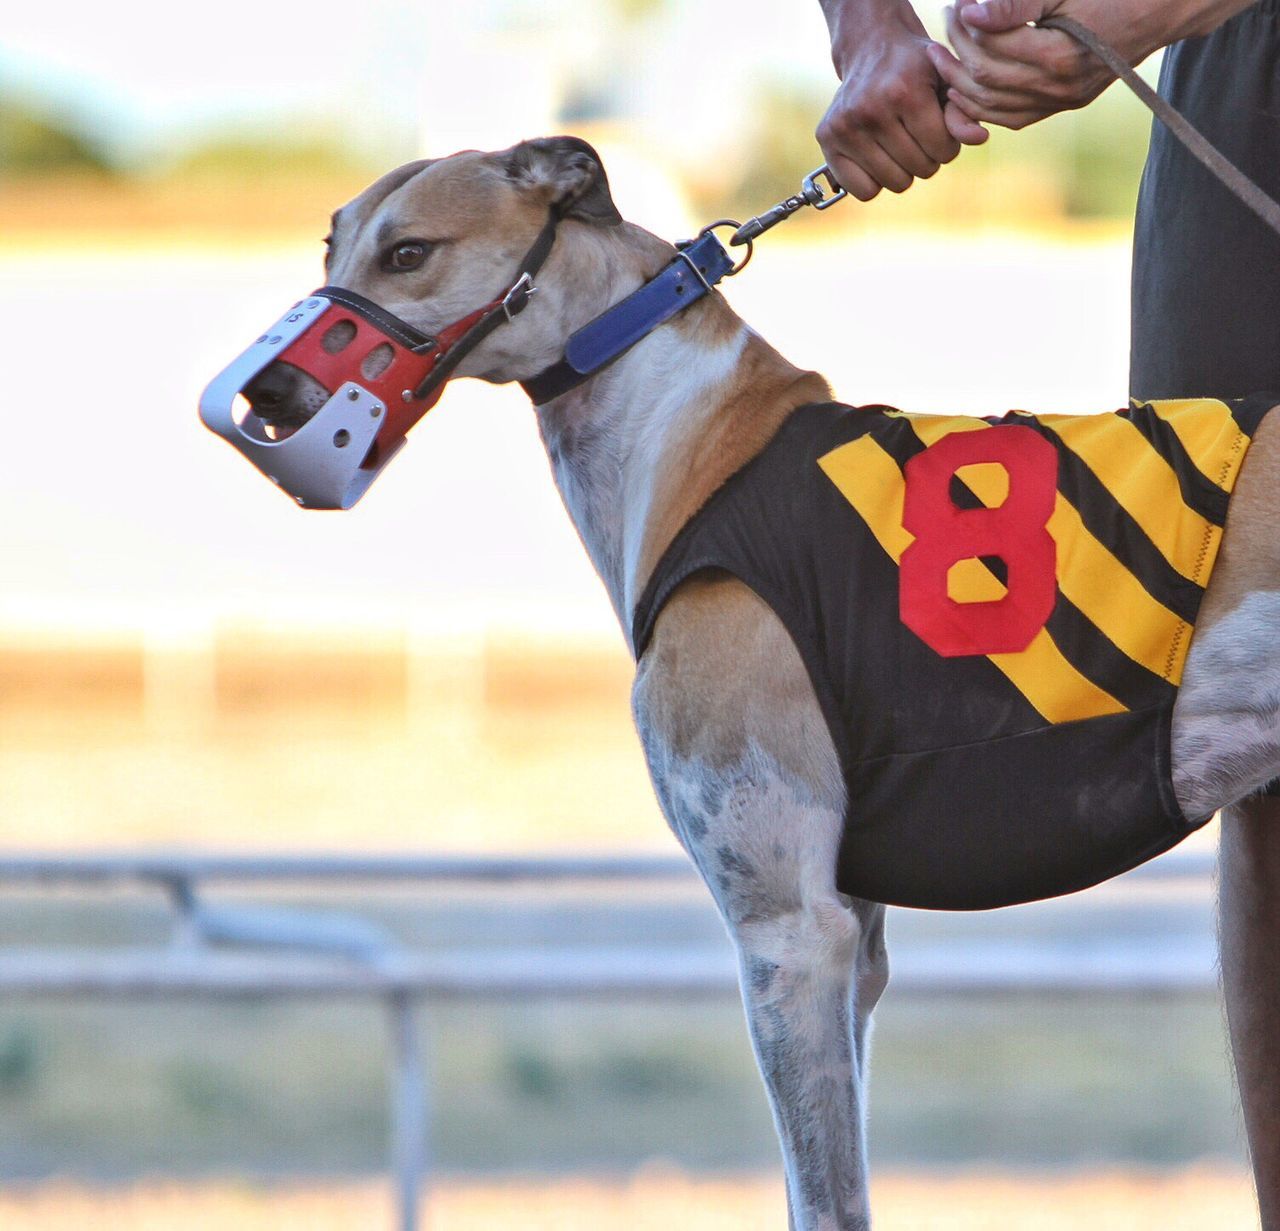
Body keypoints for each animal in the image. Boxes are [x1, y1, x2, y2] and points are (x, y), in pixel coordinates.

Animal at [225, 139, 1280, 1223]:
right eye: (331, 246)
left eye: (409, 253)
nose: (265, 399)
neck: (690, 435)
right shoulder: (855, 948)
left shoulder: (789, 933)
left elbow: (825, 1199)